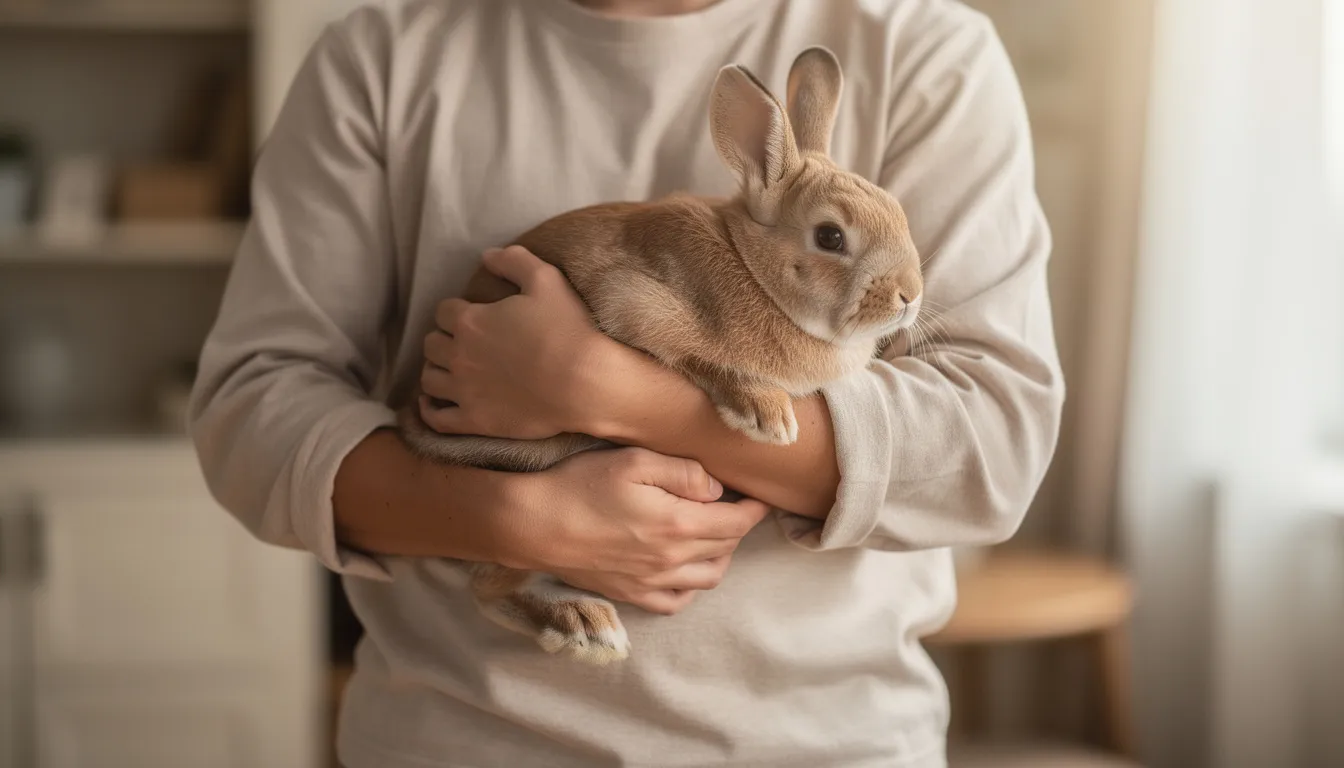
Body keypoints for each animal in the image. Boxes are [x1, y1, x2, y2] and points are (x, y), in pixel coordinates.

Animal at [396, 46, 924, 665]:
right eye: (831, 237)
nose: (910, 295)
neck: (753, 268)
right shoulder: (633, 306)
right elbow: (696, 357)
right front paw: (767, 417)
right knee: (488, 585)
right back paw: (586, 626)